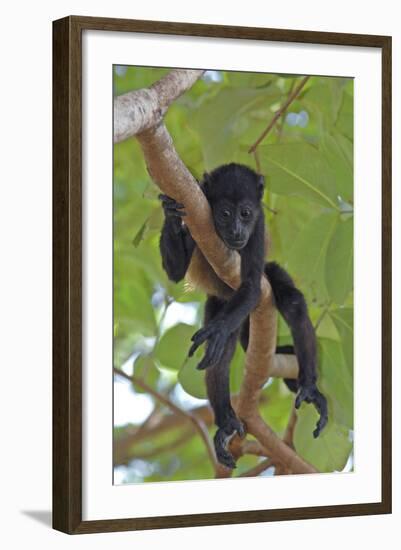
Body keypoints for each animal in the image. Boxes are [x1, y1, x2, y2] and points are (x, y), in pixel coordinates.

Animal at [158, 164, 326, 470]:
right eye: (225, 213)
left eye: (245, 213)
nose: (236, 230)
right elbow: (175, 272)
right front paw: (169, 212)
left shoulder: (258, 229)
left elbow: (250, 286)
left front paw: (217, 330)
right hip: (219, 303)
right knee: (221, 357)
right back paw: (225, 421)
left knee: (293, 303)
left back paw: (309, 387)